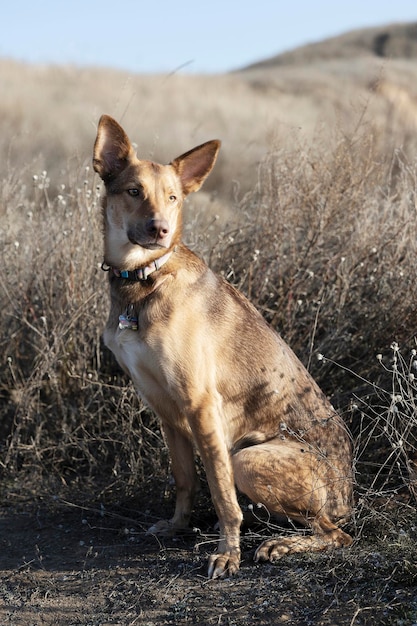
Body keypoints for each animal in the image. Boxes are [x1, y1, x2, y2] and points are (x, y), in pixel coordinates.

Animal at [92, 116, 352, 576]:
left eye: (173, 198)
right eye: (134, 191)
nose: (160, 230)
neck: (143, 280)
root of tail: (349, 494)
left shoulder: (200, 405)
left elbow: (220, 491)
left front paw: (228, 553)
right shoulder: (165, 407)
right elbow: (185, 479)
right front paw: (178, 526)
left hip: (248, 459)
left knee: (336, 534)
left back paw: (282, 545)